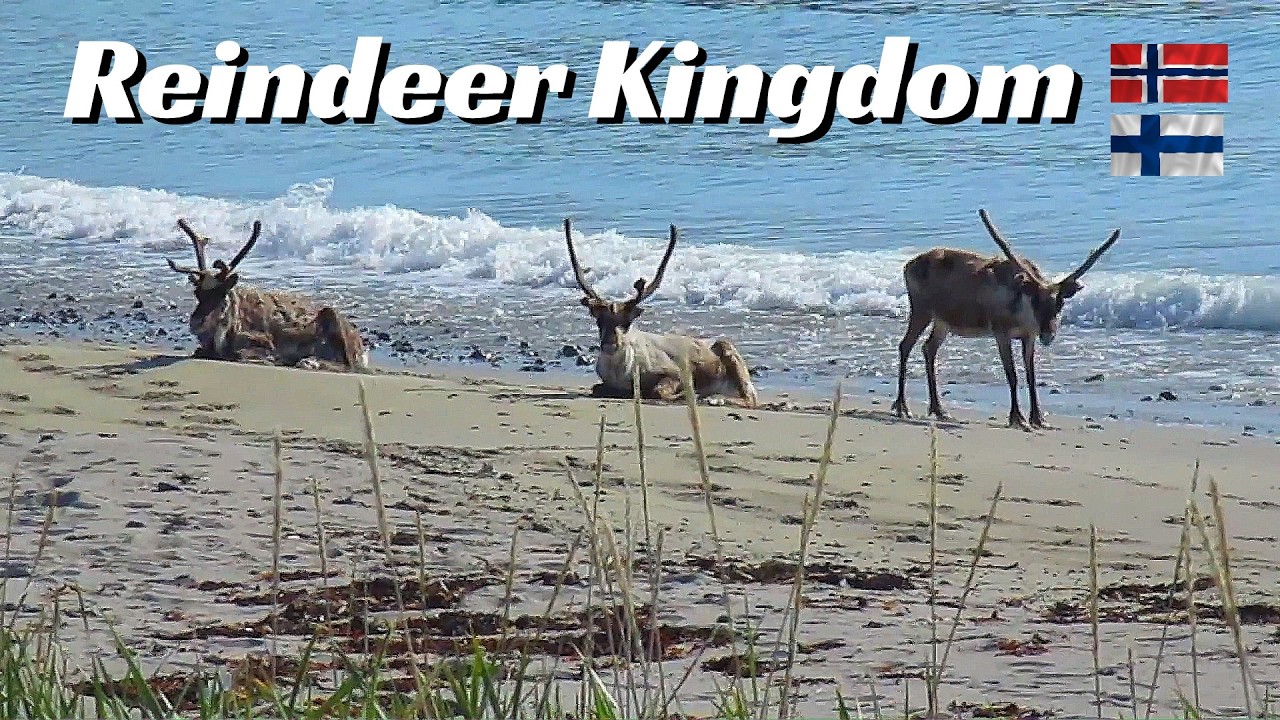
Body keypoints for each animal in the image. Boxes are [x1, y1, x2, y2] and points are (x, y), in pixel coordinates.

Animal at [165, 217, 372, 373]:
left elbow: (241, 353)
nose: (196, 323)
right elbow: (199, 351)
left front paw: (273, 359)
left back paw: (308, 361)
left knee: (349, 365)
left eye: (221, 293)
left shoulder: (264, 340)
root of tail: (360, 344)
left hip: (332, 316)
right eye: (197, 292)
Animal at [563, 218, 759, 408]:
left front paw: (691, 394)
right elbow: (596, 388)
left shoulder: (675, 373)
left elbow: (659, 391)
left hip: (730, 353)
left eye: (627, 323)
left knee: (749, 398)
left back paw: (714, 397)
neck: (620, 371)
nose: (610, 345)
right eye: (599, 321)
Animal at [891, 208, 1120, 431]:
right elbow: (1012, 374)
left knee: (928, 349)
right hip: (921, 309)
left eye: (1060, 303)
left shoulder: (1029, 336)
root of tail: (907, 265)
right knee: (905, 345)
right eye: (1035, 301)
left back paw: (939, 410)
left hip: (942, 321)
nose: (1048, 334)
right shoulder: (1001, 333)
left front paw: (1038, 419)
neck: (1022, 313)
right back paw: (902, 407)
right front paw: (1017, 418)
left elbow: (1031, 375)